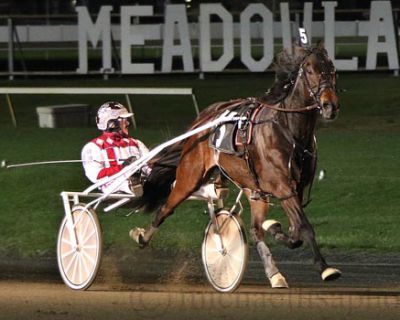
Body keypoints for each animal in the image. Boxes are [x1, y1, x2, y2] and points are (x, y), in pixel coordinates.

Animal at [130, 43, 340, 288]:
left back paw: (274, 273)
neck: (290, 131)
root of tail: (203, 118)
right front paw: (325, 268)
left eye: (332, 70)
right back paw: (142, 236)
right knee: (166, 208)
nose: (330, 105)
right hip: (190, 176)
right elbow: (304, 227)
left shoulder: (293, 189)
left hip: (253, 189)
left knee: (255, 230)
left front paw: (275, 228)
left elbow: (295, 231)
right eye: (309, 70)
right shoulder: (283, 187)